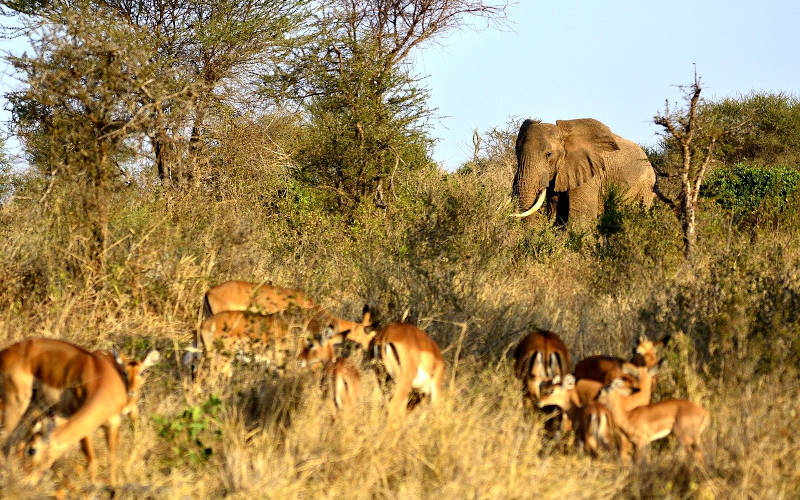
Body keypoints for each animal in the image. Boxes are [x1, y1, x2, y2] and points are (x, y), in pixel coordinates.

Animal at [512, 118, 656, 226]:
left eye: (548, 154)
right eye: (516, 153)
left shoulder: (591, 173)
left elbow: (581, 217)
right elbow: (557, 215)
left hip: (645, 187)